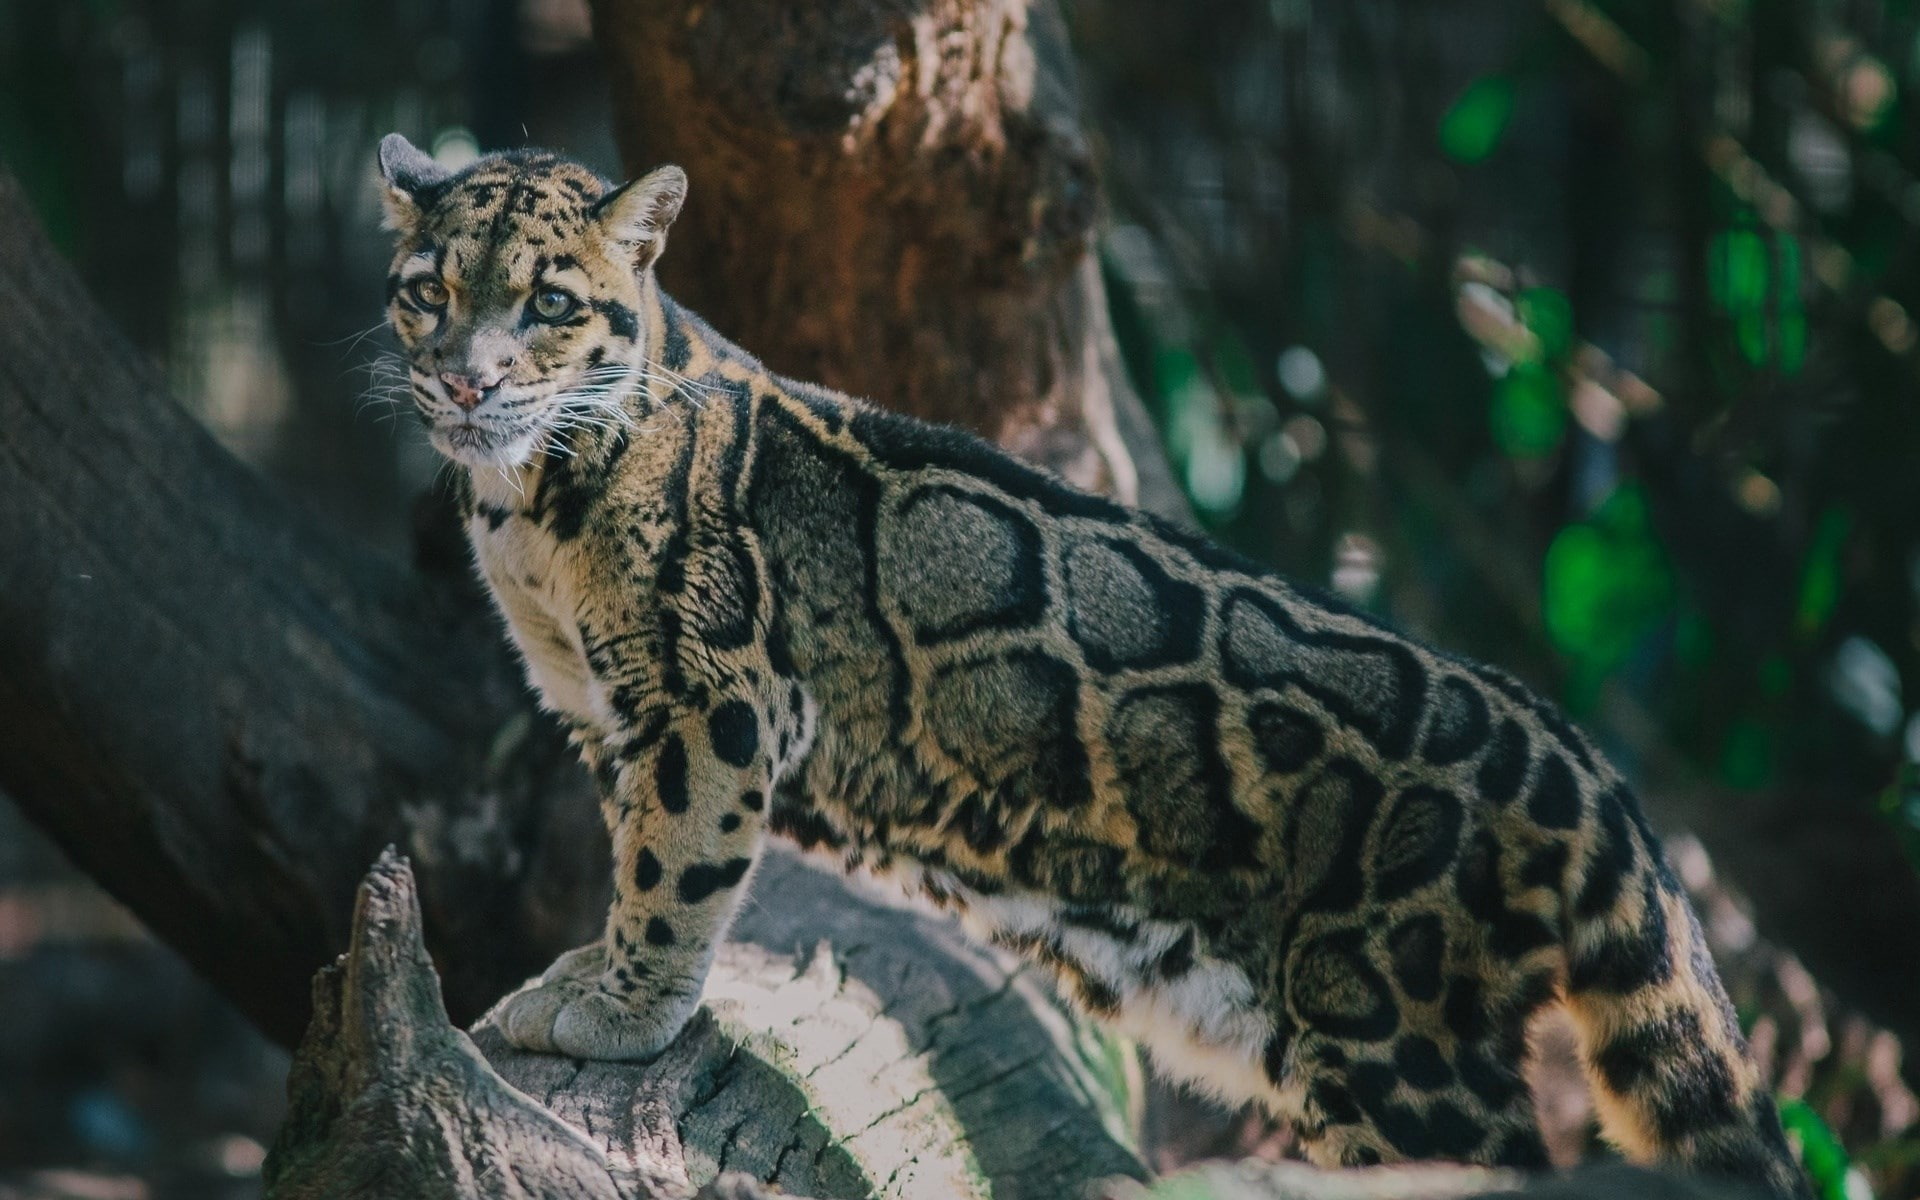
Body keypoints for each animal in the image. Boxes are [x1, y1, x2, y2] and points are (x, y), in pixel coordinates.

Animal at [373, 133, 1807, 1197]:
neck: (524, 503)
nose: (465, 385)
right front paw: (587, 974)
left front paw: (623, 1007)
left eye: (551, 303)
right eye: (427, 289)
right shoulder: (602, 702)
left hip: (1399, 1042)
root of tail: (1580, 764)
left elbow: (675, 866)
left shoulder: (709, 695)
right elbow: (633, 844)